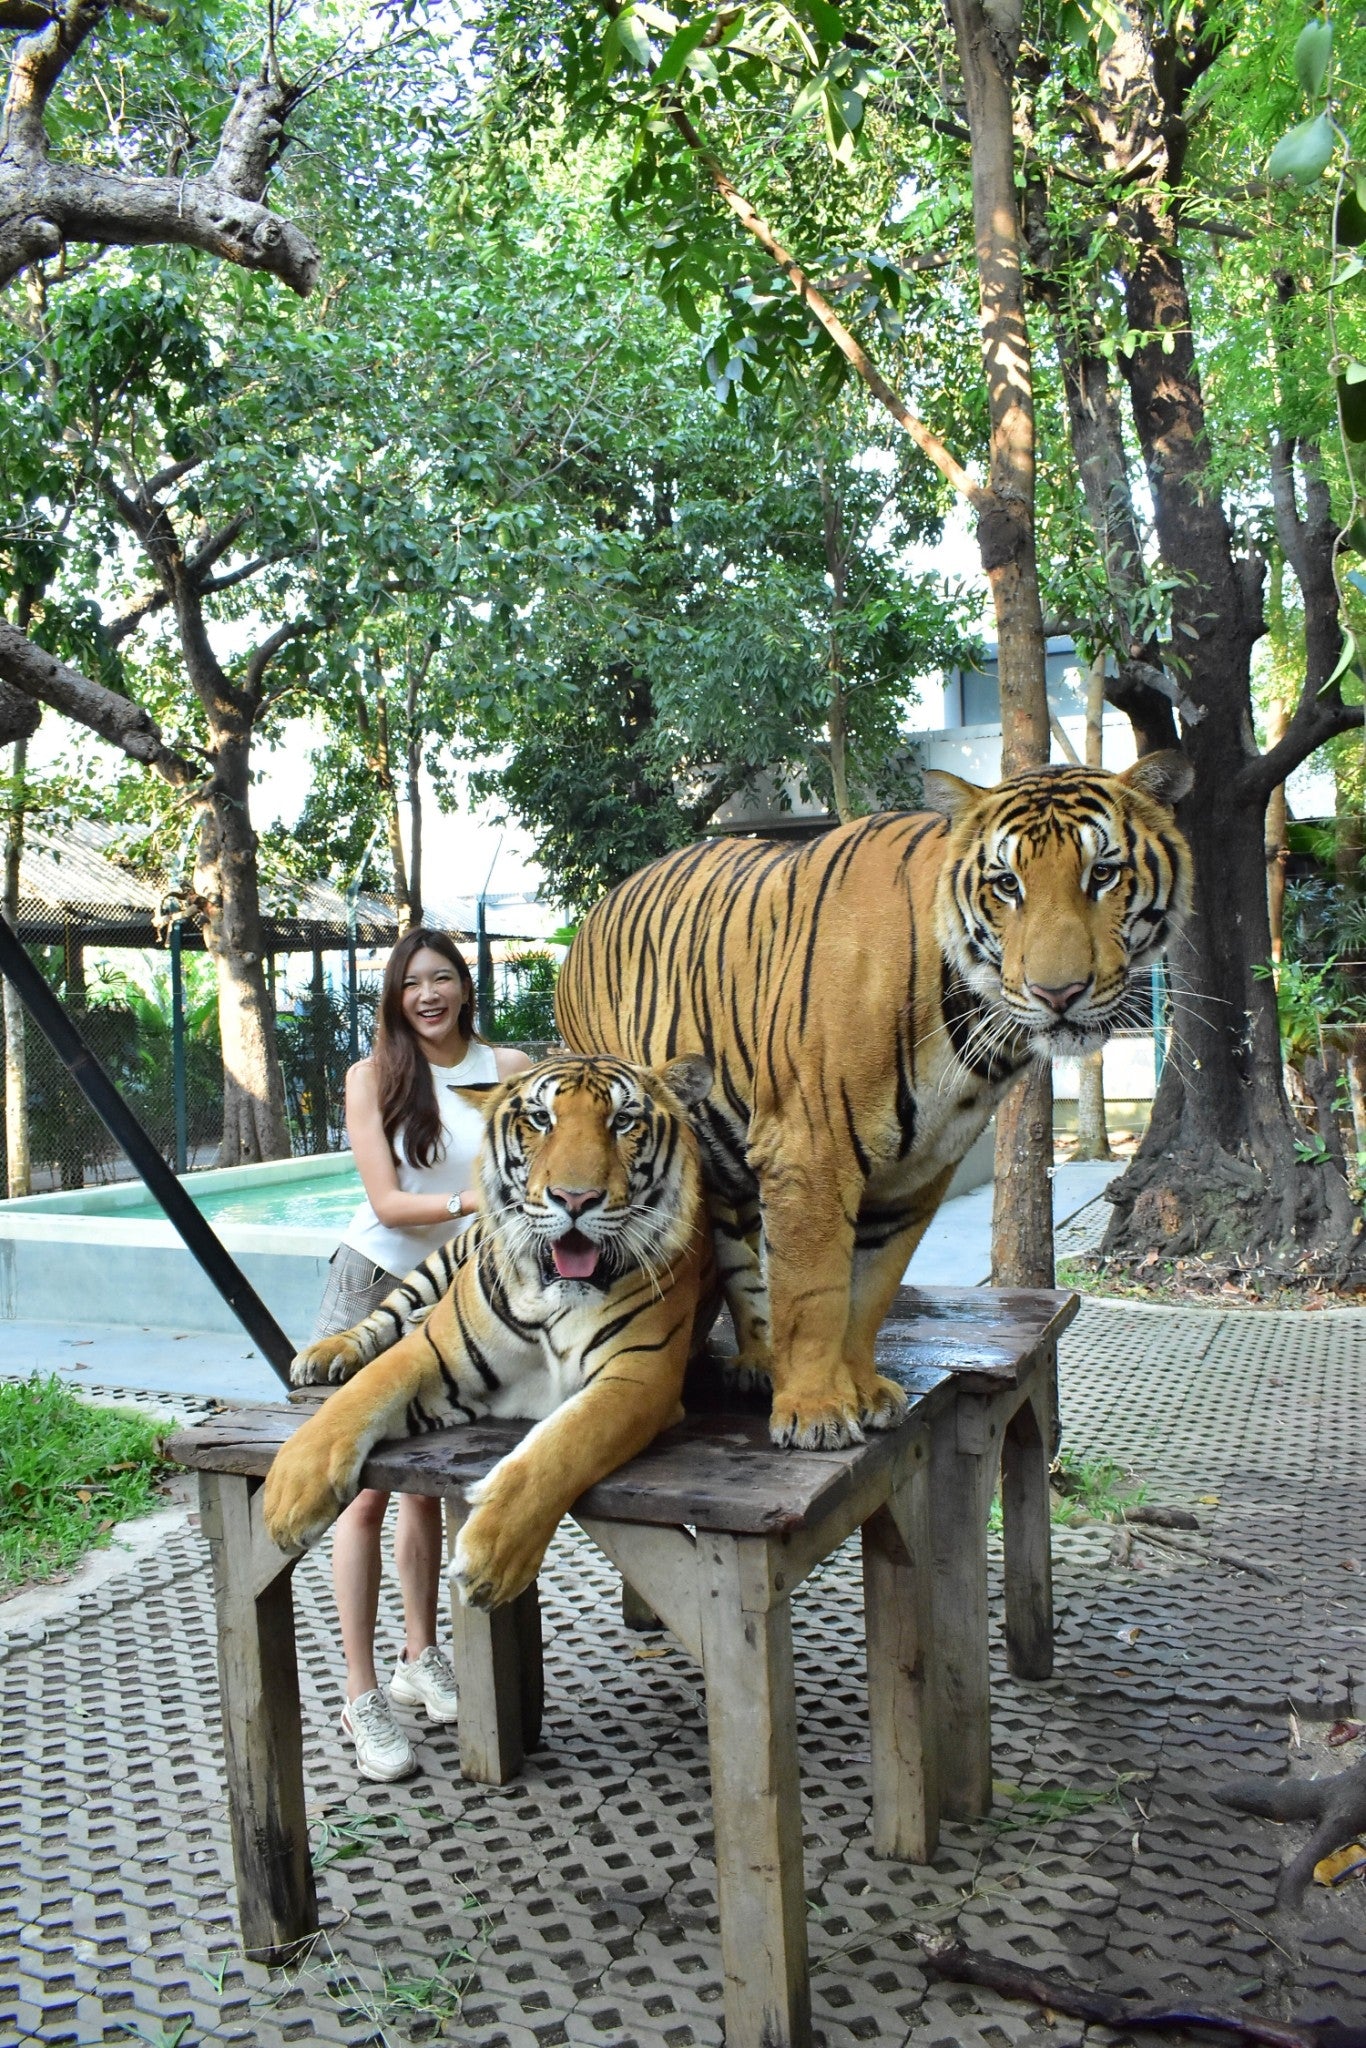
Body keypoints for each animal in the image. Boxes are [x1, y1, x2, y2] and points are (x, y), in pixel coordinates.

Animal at [262, 1052, 714, 1610]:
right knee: (387, 1315)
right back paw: (327, 1353)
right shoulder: (432, 1352)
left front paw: (492, 1557)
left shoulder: (639, 1377)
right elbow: (359, 1395)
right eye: (541, 1119)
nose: (576, 1199)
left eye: (623, 1121)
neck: (554, 1296)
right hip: (440, 1262)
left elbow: (563, 1446)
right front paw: (290, 1492)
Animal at [556, 754, 1194, 1453]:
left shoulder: (919, 1172)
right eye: (1006, 884)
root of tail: (590, 914)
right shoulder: (808, 1151)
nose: (1059, 994)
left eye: (1102, 873)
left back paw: (760, 1360)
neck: (971, 1028)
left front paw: (861, 1390)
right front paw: (813, 1411)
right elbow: (814, 1293)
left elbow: (870, 1291)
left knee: (738, 1249)